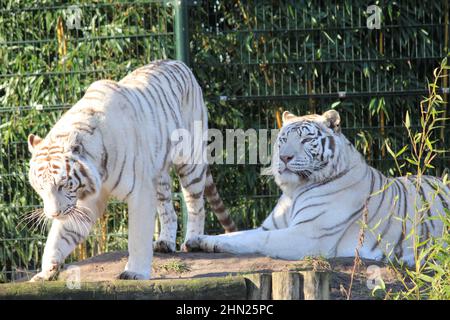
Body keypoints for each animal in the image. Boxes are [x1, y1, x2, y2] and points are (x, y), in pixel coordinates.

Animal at [26, 60, 237, 280]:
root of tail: (180, 63)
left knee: (196, 204)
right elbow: (61, 234)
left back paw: (193, 241)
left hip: (190, 162)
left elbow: (137, 236)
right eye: (40, 188)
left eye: (62, 184)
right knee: (168, 209)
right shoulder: (85, 200)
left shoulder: (140, 191)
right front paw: (46, 271)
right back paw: (165, 242)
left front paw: (134, 272)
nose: (53, 214)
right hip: (159, 176)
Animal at [190, 110, 450, 264]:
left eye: (306, 140)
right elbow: (239, 234)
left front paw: (207, 242)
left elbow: (256, 240)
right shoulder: (271, 226)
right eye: (283, 139)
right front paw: (198, 239)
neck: (294, 191)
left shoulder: (307, 235)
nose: (284, 157)